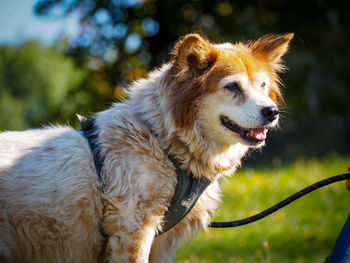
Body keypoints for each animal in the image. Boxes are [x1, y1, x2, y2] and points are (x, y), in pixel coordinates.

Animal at [0, 33, 292, 263]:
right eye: (232, 86)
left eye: (263, 86)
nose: (272, 112)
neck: (161, 142)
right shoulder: (133, 230)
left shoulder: (163, 243)